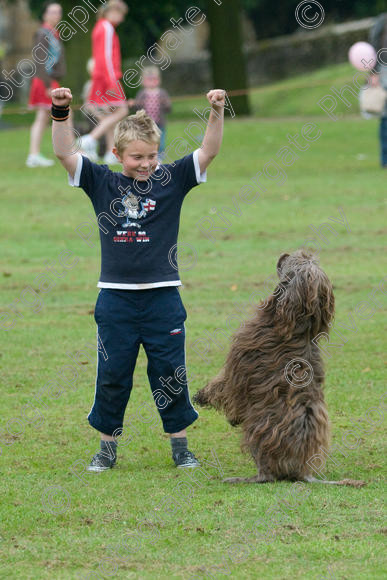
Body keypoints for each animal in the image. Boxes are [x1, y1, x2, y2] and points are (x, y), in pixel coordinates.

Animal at [194, 251, 366, 488]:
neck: (299, 327)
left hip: (258, 430)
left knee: (267, 476)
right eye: (304, 255)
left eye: (297, 260)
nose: (283, 254)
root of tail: (303, 471)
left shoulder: (238, 369)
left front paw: (204, 397)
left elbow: (223, 387)